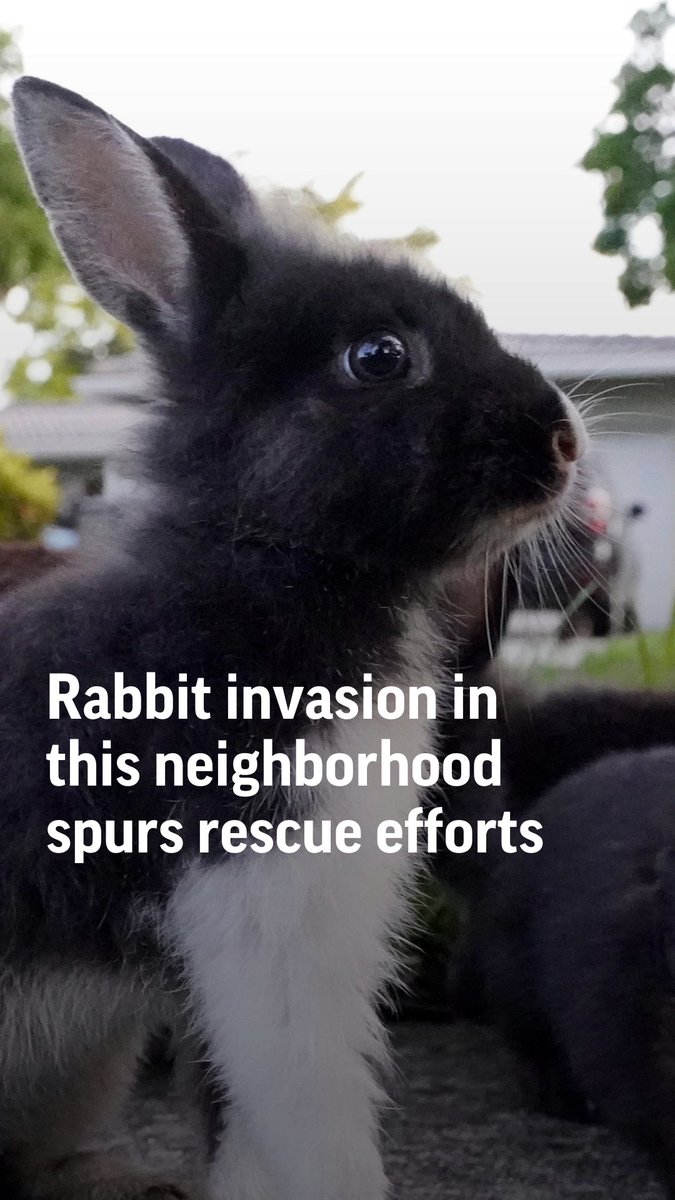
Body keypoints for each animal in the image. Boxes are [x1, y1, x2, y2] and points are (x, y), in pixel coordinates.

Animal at [4, 76, 585, 1200]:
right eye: (378, 357)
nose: (564, 441)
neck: (270, 564)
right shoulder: (261, 911)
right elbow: (309, 1113)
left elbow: (244, 1122)